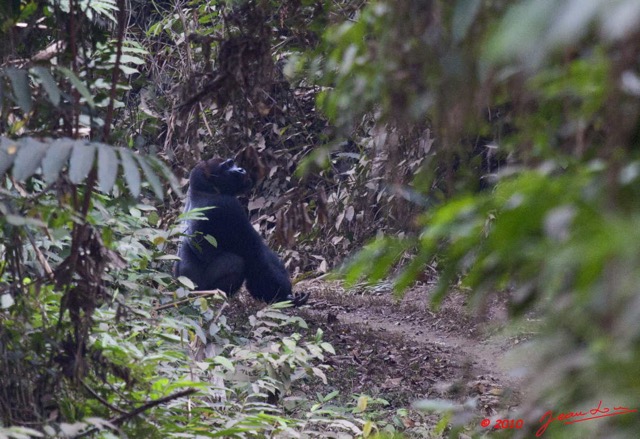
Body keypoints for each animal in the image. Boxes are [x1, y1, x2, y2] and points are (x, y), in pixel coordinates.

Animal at [172, 158, 308, 306]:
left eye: (232, 163)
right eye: (227, 166)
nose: (241, 170)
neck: (204, 190)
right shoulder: (228, 206)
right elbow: (256, 256)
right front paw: (281, 295)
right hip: (198, 292)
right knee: (235, 262)